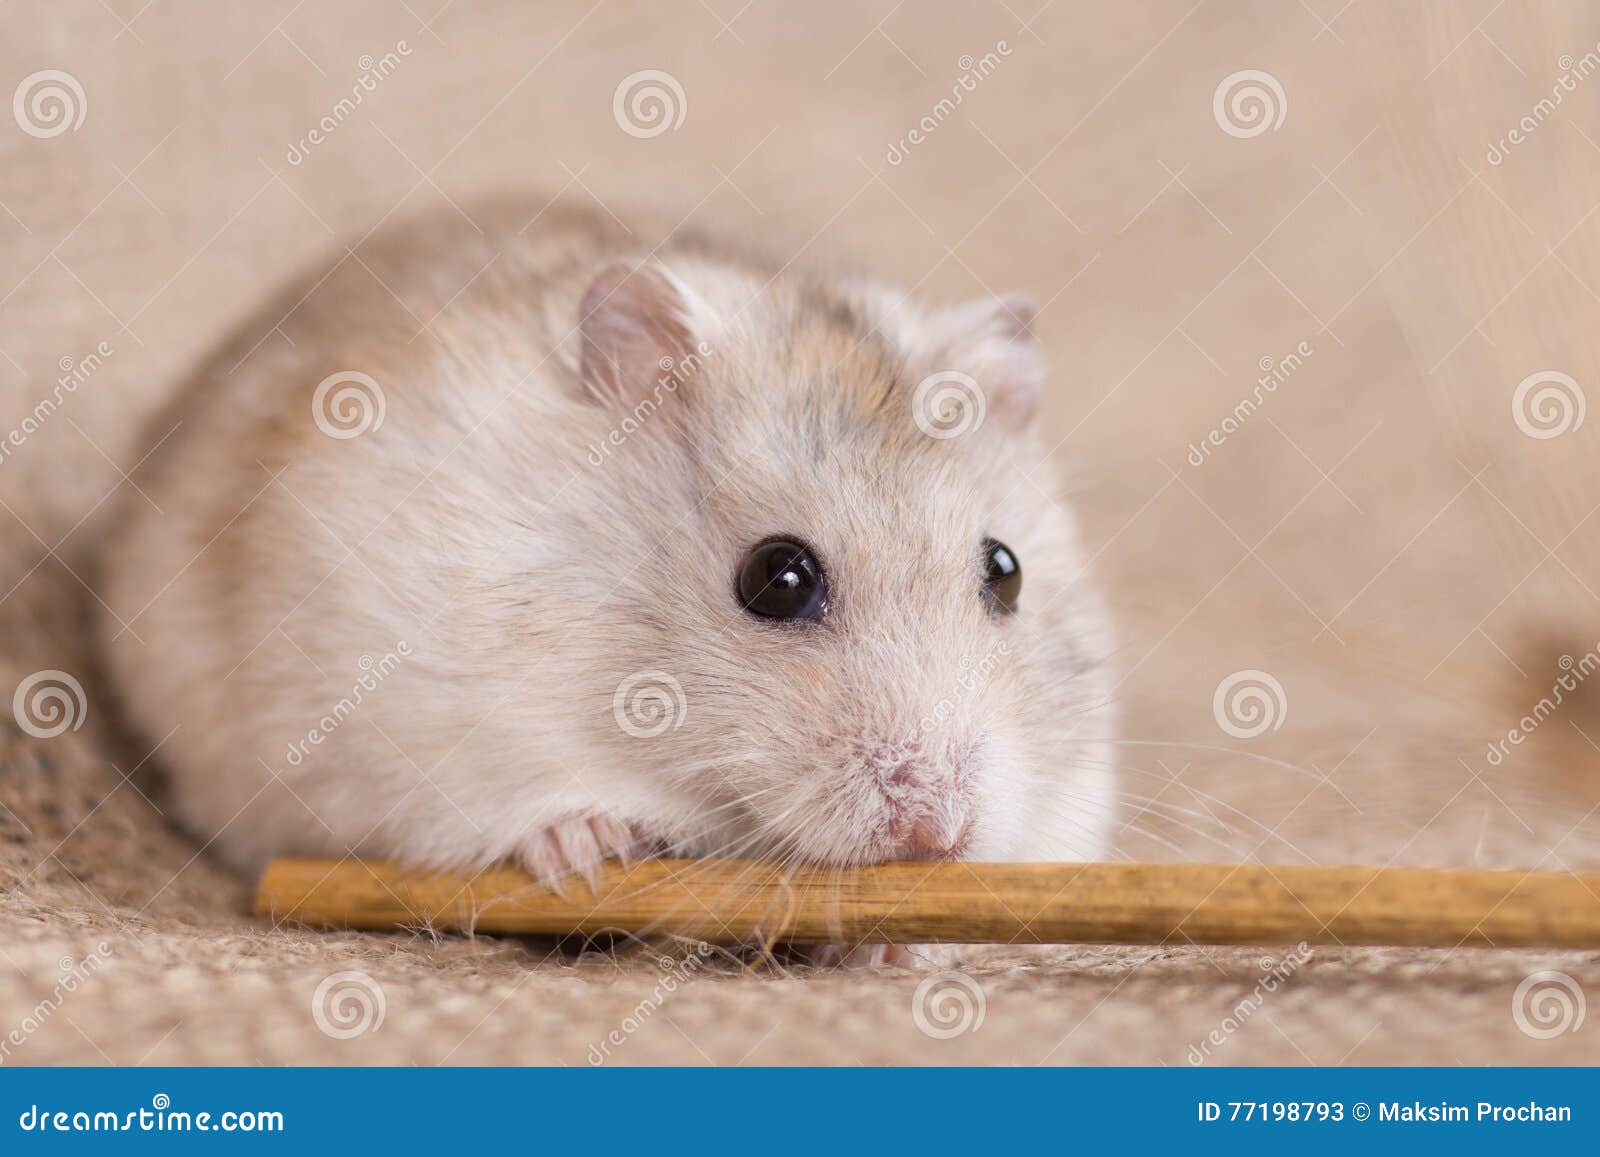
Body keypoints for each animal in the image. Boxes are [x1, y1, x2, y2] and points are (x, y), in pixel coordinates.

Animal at [96, 201, 1118, 940]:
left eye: (1007, 571)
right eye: (776, 579)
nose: (938, 831)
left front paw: (900, 942)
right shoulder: (393, 713)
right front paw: (590, 847)